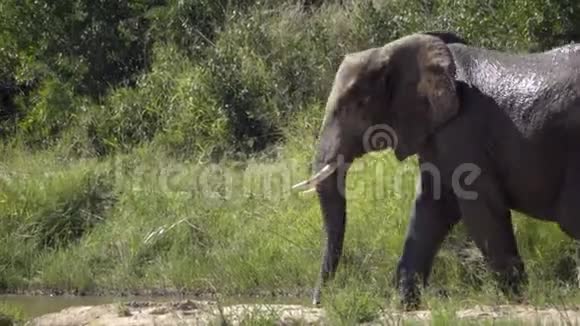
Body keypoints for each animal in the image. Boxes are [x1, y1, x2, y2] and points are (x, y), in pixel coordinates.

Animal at [292, 31, 580, 310]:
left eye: (354, 106)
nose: (317, 302)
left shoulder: (463, 131)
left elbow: (481, 211)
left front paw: (516, 299)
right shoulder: (435, 134)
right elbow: (431, 209)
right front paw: (405, 305)